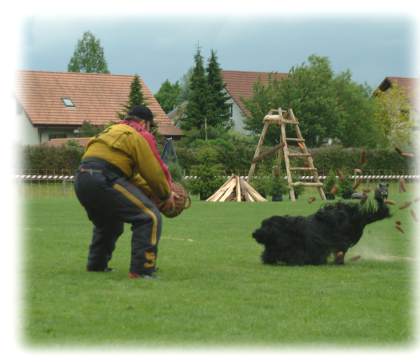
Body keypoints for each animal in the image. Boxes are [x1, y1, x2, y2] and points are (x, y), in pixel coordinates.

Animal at [251, 186, 388, 266]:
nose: (254, 233)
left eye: (267, 226)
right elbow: (270, 254)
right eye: (262, 225)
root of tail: (353, 215)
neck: (287, 231)